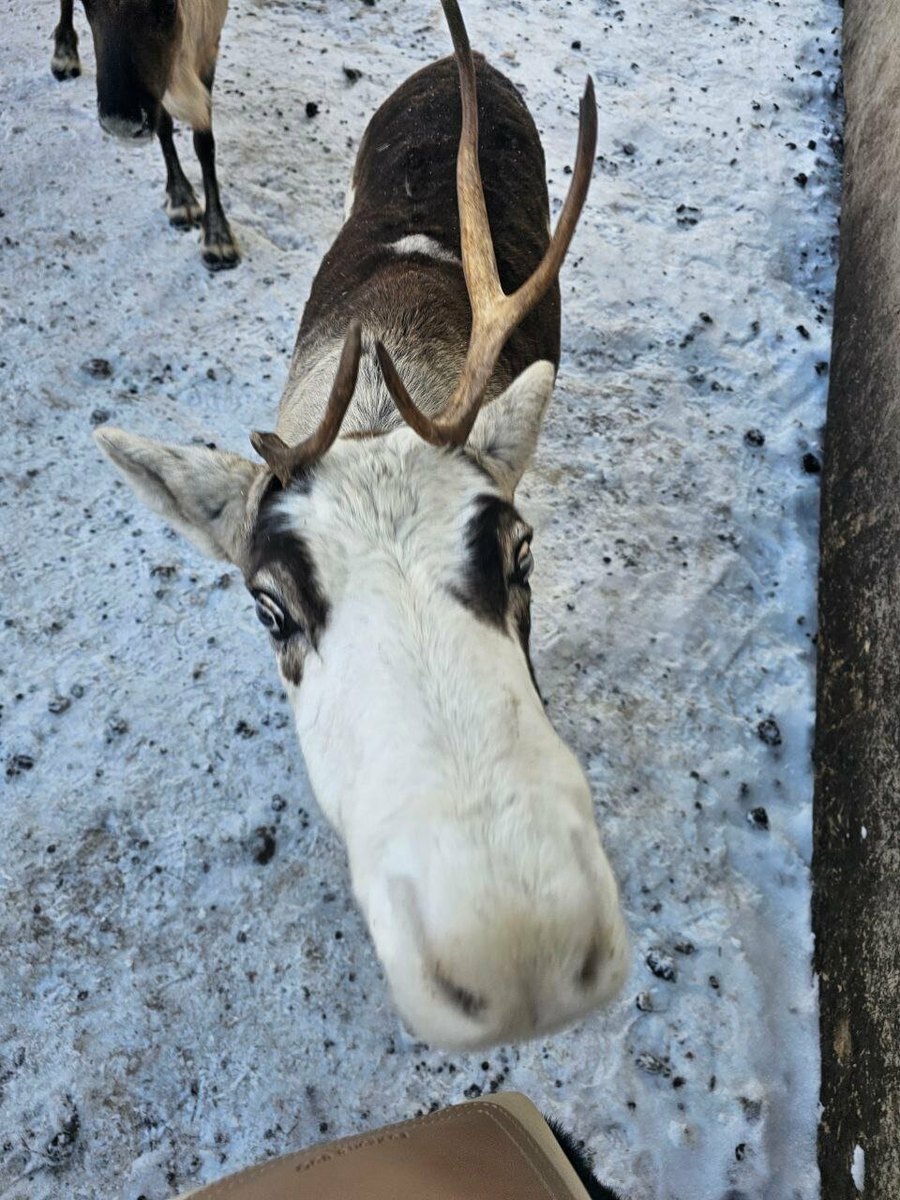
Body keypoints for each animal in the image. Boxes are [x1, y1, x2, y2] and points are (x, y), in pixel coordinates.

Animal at [51, 0, 239, 270]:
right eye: (88, 4)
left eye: (168, 6)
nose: (121, 124)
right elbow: (164, 125)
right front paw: (180, 197)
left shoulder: (208, 37)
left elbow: (204, 143)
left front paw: (217, 235)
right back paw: (64, 55)